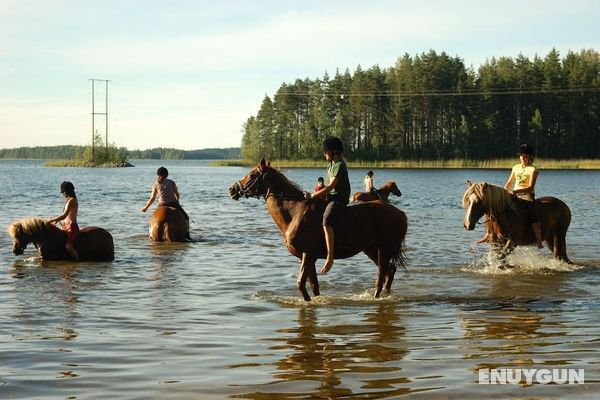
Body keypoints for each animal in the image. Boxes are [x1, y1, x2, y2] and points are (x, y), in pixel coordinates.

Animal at [229, 158, 408, 302]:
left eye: (252, 174)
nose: (231, 189)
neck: (295, 211)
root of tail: (400, 213)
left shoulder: (308, 255)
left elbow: (301, 284)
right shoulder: (306, 257)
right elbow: (314, 286)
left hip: (384, 249)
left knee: (382, 274)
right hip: (371, 249)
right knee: (389, 271)